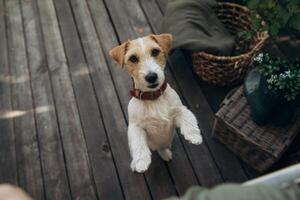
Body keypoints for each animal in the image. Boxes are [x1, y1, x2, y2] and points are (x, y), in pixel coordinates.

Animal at [109, 33, 203, 173]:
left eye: (155, 52)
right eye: (133, 58)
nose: (151, 77)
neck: (153, 98)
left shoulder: (179, 110)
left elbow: (188, 119)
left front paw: (194, 136)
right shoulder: (135, 126)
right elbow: (138, 144)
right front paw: (141, 162)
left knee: (162, 148)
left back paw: (166, 154)